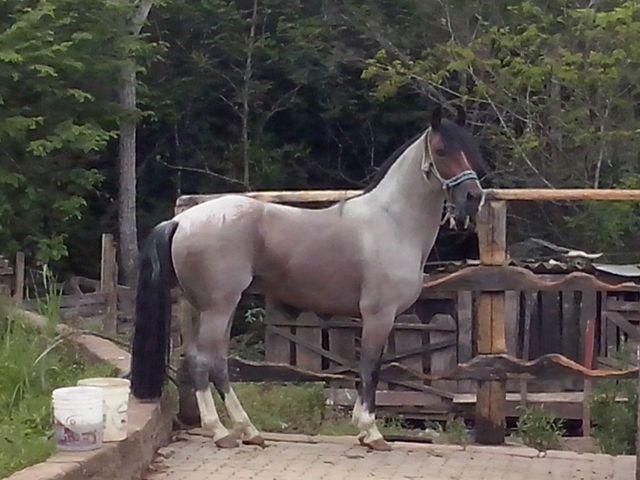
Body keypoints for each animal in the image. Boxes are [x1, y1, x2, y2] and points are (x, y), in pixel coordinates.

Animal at [131, 105, 484, 450]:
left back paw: (246, 430)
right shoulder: (379, 315)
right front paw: (371, 432)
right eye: (441, 150)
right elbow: (371, 368)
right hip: (218, 307)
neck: (392, 221)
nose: (473, 196)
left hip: (207, 308)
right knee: (207, 361)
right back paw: (223, 432)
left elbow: (367, 368)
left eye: (468, 149)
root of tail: (181, 221)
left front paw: (362, 428)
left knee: (207, 361)